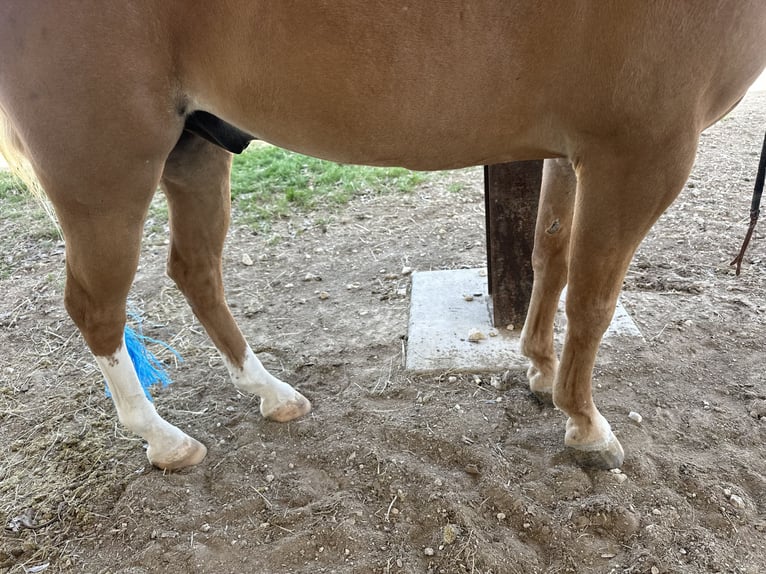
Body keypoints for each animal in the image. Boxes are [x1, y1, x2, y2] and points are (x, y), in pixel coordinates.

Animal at [1, 1, 764, 471]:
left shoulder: (575, 150)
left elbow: (549, 253)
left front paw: (540, 372)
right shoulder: (639, 156)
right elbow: (594, 299)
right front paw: (586, 426)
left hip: (194, 150)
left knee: (196, 271)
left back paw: (271, 393)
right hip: (107, 175)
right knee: (97, 309)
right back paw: (163, 439)